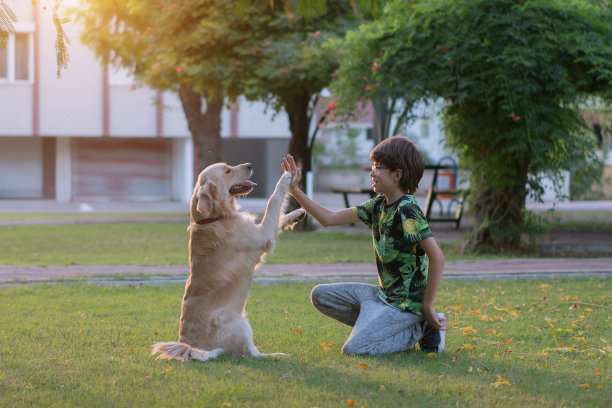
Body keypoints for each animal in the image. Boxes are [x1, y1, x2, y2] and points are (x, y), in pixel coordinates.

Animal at [152, 161, 304, 362]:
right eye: (227, 170)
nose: (249, 164)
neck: (214, 218)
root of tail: (193, 347)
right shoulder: (264, 236)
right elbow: (273, 200)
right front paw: (286, 177)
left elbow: (279, 217)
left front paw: (298, 213)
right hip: (236, 319)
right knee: (251, 354)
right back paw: (278, 354)